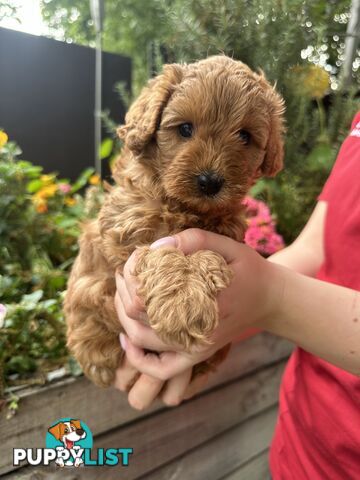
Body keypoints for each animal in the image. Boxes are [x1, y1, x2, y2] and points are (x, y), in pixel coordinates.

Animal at [64, 55, 284, 390]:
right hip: (87, 290)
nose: (210, 182)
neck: (182, 206)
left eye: (245, 136)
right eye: (185, 129)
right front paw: (184, 301)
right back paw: (97, 353)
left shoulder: (227, 231)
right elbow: (162, 252)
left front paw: (188, 295)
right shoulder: (125, 230)